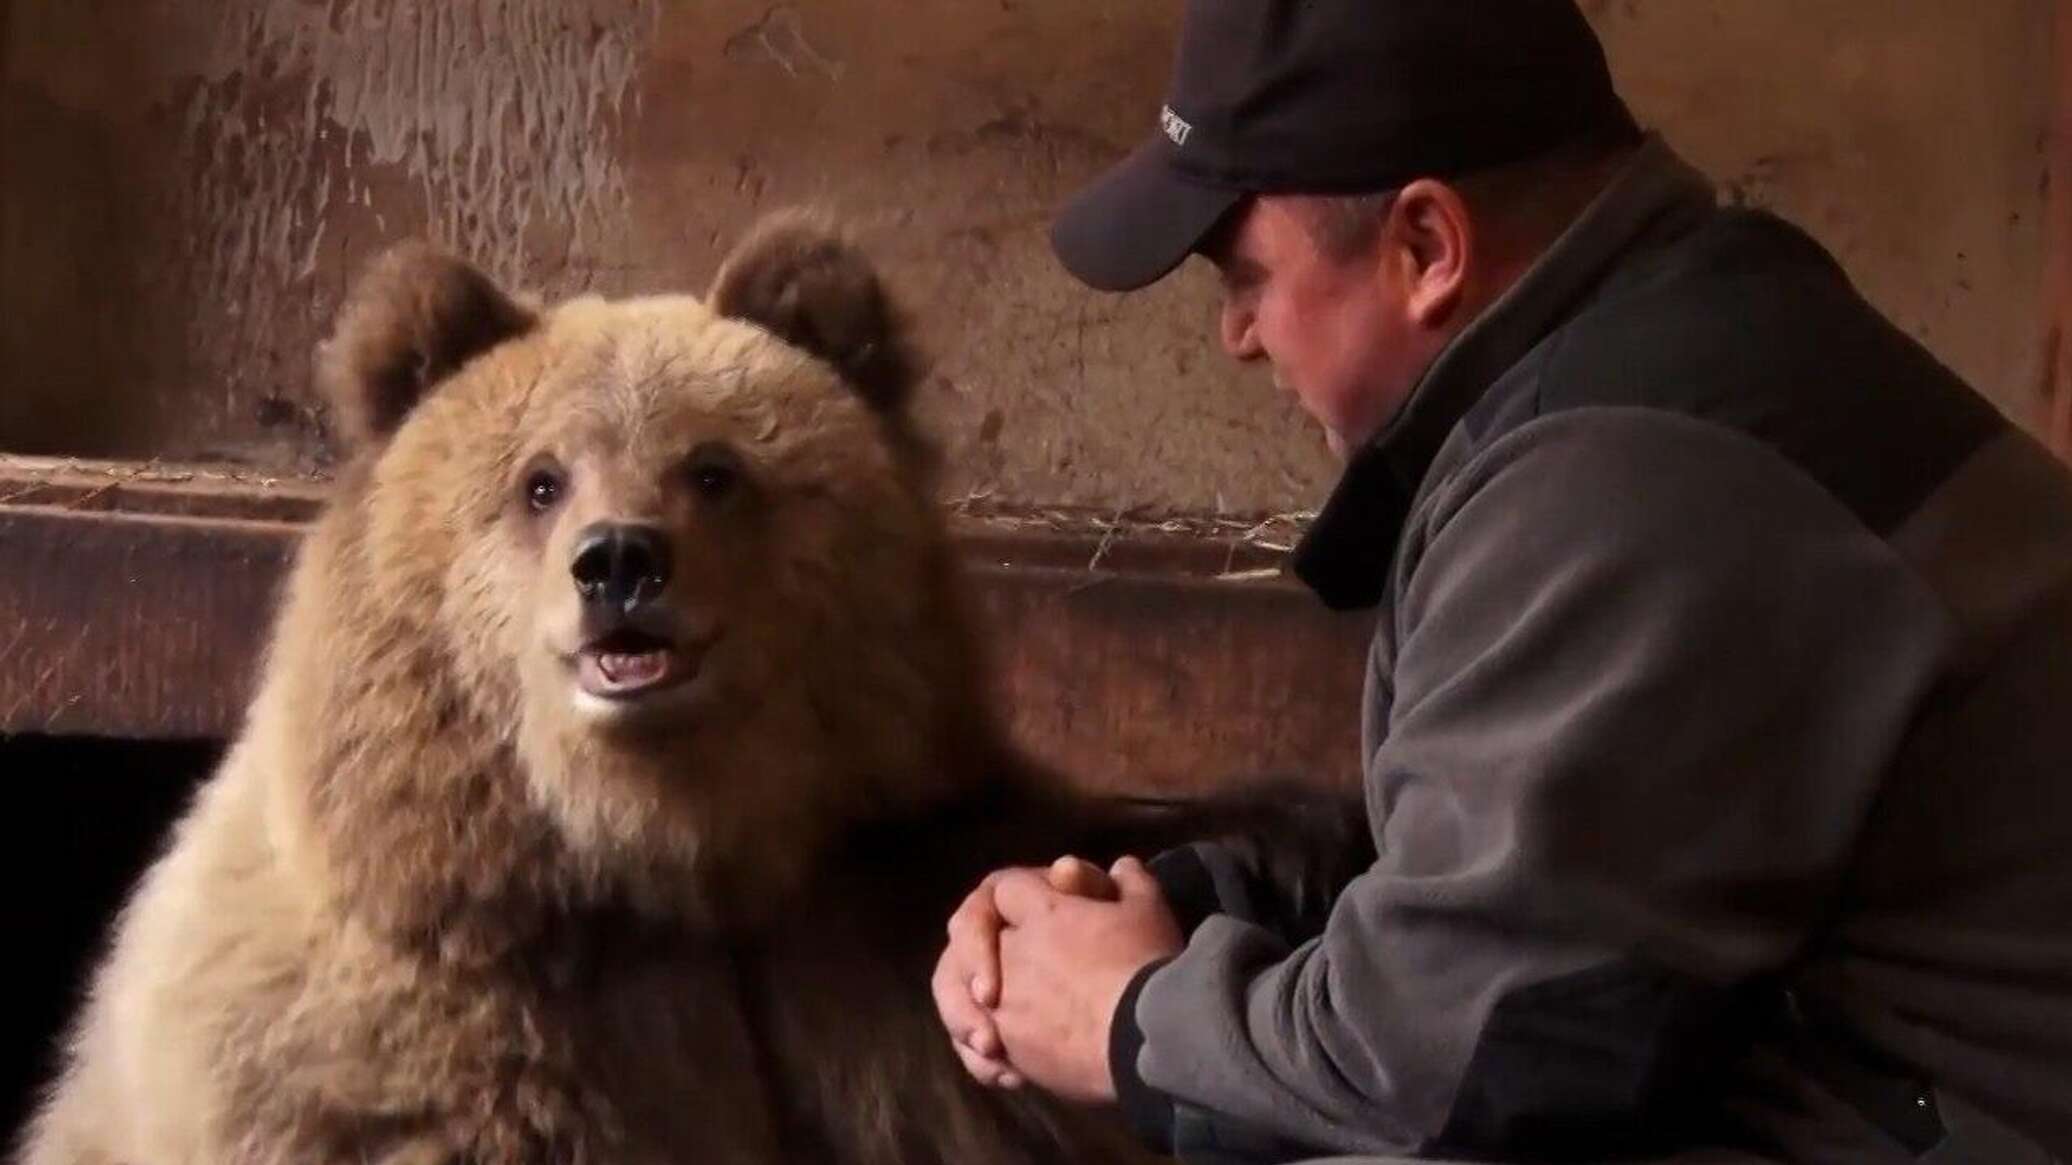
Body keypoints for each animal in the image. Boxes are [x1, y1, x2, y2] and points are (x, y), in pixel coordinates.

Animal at [16, 210, 1350, 1160]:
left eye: (713, 467)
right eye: (540, 479)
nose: (619, 563)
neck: (654, 860)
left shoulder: (863, 923)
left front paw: (1275, 843)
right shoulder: (444, 1044)